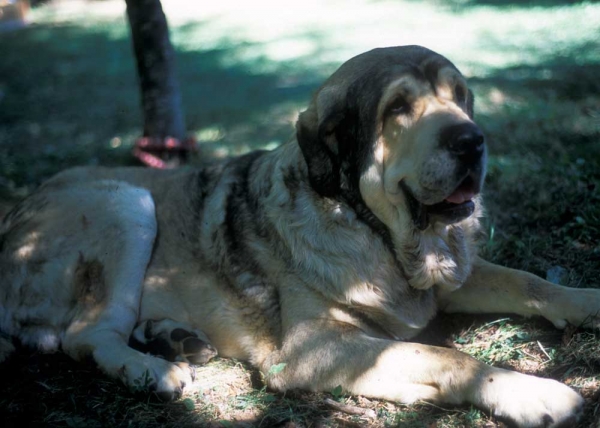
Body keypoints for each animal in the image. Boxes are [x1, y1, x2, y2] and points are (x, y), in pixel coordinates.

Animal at [1, 45, 600, 426]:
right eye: (398, 108)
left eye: (460, 95)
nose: (473, 141)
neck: (379, 235)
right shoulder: (318, 347)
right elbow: (445, 356)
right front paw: (533, 391)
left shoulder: (448, 279)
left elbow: (529, 282)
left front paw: (587, 298)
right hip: (127, 203)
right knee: (85, 335)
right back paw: (152, 369)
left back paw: (172, 338)